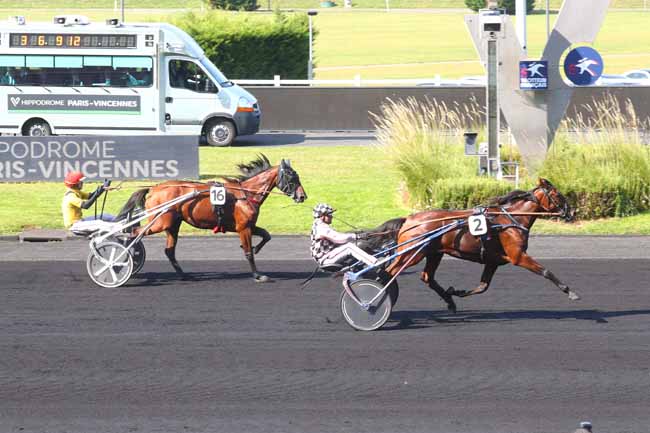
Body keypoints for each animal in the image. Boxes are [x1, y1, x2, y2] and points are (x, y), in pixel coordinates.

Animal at [117, 154, 306, 282]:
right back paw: (122, 261)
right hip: (160, 222)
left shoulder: (249, 225)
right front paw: (258, 275)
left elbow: (267, 235)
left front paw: (257, 248)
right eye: (292, 176)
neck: (245, 195)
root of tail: (154, 188)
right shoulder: (243, 228)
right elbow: (248, 253)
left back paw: (184, 275)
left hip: (172, 224)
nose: (303, 196)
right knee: (134, 232)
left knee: (169, 250)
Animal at [372, 177, 580, 312]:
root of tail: (408, 219)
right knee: (389, 272)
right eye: (557, 195)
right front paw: (570, 292)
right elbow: (546, 271)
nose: (571, 213)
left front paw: (457, 291)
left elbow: (482, 286)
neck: (511, 219)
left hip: (434, 253)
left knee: (427, 277)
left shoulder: (493, 260)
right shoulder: (518, 256)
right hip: (412, 253)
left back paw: (450, 301)